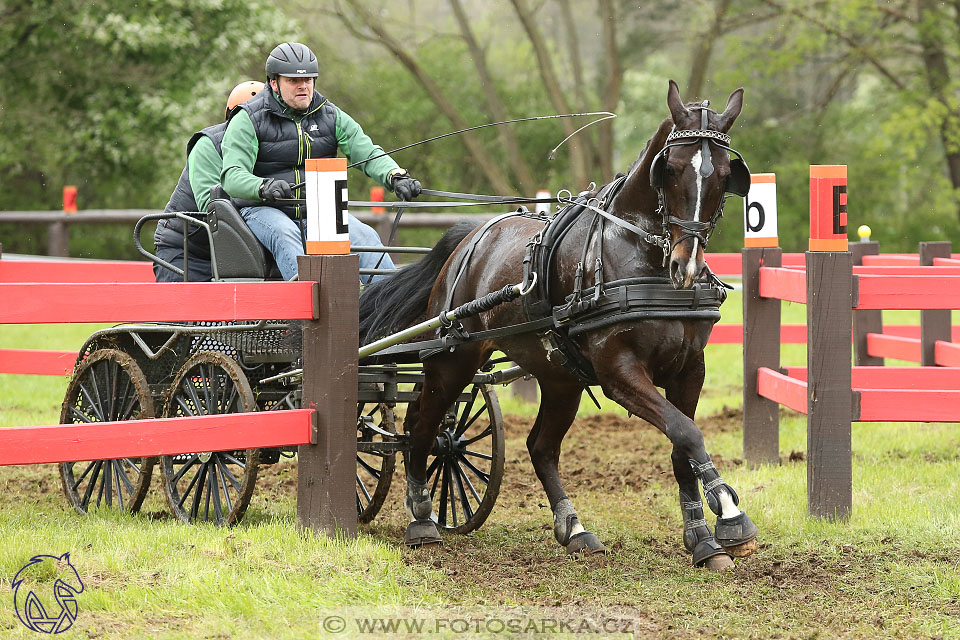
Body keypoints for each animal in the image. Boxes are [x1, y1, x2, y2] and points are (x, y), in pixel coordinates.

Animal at [360, 81, 756, 568]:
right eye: (673, 168)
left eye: (724, 174)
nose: (686, 265)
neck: (636, 251)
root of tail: (470, 236)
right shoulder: (619, 372)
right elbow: (685, 431)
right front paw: (732, 515)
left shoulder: (689, 369)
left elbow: (684, 446)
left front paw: (703, 540)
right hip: (453, 358)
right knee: (422, 425)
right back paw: (421, 517)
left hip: (559, 376)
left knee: (539, 446)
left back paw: (574, 528)